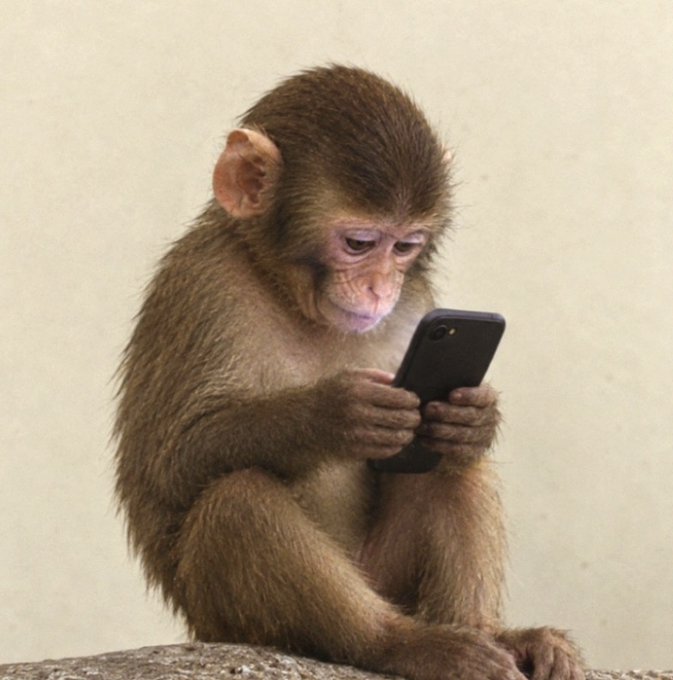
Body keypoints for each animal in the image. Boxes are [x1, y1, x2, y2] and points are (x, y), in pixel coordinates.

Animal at [114, 65, 584, 680]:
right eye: (359, 243)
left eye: (405, 246)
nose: (381, 288)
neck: (287, 292)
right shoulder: (202, 285)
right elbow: (170, 463)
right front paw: (334, 413)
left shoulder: (417, 304)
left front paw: (475, 416)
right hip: (227, 620)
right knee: (238, 498)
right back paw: (396, 643)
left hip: (386, 575)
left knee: (450, 464)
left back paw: (491, 632)